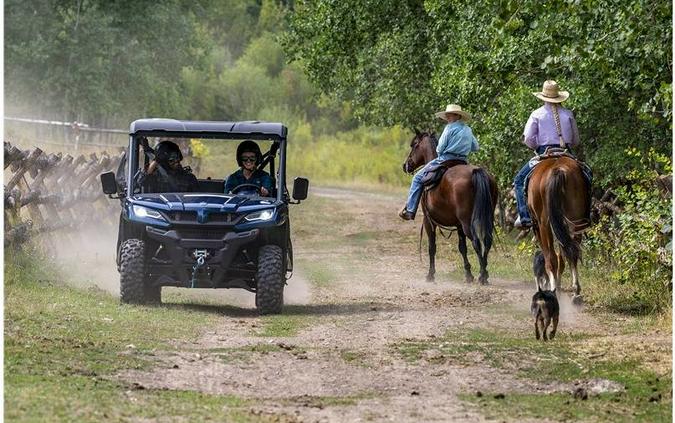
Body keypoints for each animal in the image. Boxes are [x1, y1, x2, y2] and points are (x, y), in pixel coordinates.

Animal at [404, 132, 500, 284]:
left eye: (414, 145)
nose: (406, 165)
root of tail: (477, 171)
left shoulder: (428, 221)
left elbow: (432, 247)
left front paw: (430, 275)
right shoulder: (458, 225)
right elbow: (462, 248)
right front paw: (468, 275)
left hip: (467, 222)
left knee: (477, 242)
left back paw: (482, 276)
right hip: (485, 218)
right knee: (487, 240)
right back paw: (484, 273)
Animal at [528, 155, 592, 304]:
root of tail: (558, 170)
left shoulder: (539, 226)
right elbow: (562, 256)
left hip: (544, 225)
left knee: (551, 258)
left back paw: (554, 291)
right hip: (575, 221)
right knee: (572, 252)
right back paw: (576, 292)